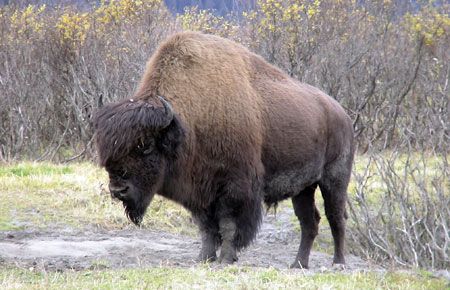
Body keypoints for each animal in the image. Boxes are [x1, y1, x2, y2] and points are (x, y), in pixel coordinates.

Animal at [95, 31, 356, 268]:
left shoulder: (235, 189)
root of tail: (342, 114)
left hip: (334, 180)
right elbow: (207, 228)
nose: (118, 190)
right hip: (303, 188)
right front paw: (204, 258)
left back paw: (338, 263)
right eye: (104, 149)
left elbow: (229, 226)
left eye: (146, 145)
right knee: (309, 221)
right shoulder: (200, 193)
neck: (187, 122)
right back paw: (298, 264)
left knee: (336, 217)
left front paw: (227, 258)